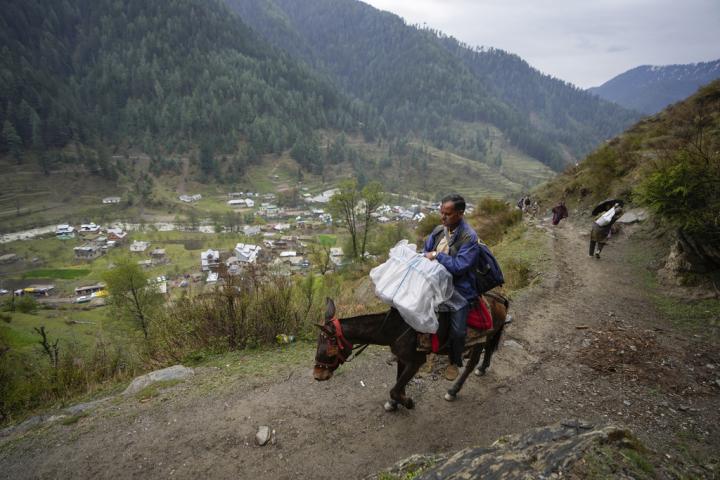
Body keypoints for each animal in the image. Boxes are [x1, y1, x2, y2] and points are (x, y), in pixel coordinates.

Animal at [313, 292, 510, 411]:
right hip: (488, 337)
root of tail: (499, 298)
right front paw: (396, 402)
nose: (317, 375)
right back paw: (482, 368)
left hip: (481, 339)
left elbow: (395, 388)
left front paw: (406, 402)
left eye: (329, 349)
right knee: (487, 351)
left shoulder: (416, 362)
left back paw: (453, 390)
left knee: (471, 363)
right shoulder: (402, 358)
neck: (395, 328)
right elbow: (398, 382)